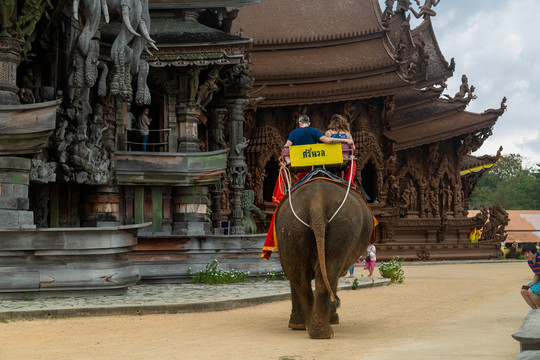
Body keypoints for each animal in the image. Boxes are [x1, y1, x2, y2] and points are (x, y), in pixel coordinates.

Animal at [274, 176, 376, 338]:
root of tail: (317, 202)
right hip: (343, 228)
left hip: (290, 226)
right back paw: (323, 333)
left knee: (301, 278)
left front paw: (296, 325)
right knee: (328, 273)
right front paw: (334, 319)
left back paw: (310, 328)